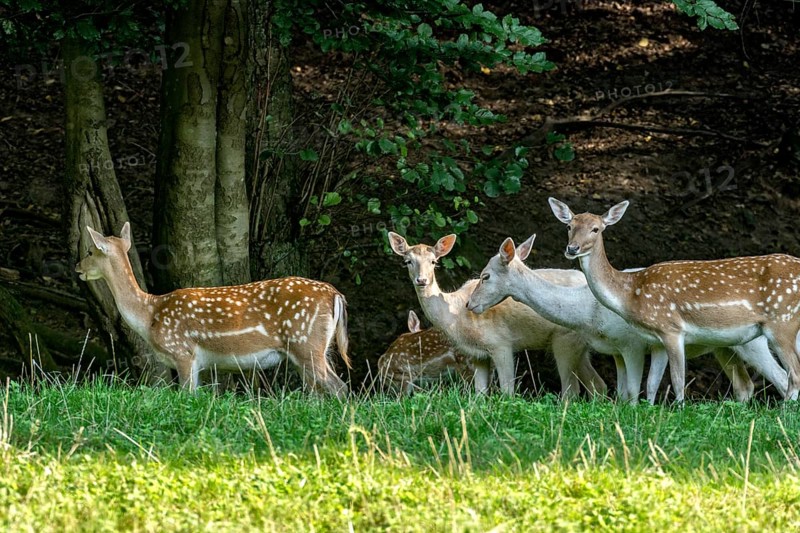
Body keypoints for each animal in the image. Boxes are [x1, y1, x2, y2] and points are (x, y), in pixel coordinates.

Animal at [75, 223, 351, 397]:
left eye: (89, 251)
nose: (77, 267)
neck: (150, 314)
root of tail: (335, 294)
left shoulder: (182, 351)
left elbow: (185, 395)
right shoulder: (197, 363)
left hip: (306, 342)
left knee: (339, 387)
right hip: (311, 349)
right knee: (317, 392)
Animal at [388, 232, 606, 397]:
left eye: (434, 261)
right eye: (407, 261)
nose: (421, 280)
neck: (455, 316)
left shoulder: (500, 344)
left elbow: (507, 391)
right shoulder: (476, 354)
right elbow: (479, 395)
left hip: (565, 338)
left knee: (572, 390)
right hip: (579, 345)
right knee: (597, 384)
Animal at [466, 235, 789, 403]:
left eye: (486, 275)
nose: (470, 304)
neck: (588, 312)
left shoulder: (632, 344)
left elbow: (633, 391)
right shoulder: (617, 350)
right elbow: (622, 392)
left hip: (755, 342)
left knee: (782, 377)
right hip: (724, 347)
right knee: (746, 386)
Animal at [549, 197, 800, 403]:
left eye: (596, 229)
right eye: (569, 226)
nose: (572, 248)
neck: (631, 292)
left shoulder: (672, 328)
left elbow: (678, 382)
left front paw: (678, 409)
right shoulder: (657, 340)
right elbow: (651, 384)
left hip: (781, 322)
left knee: (793, 375)